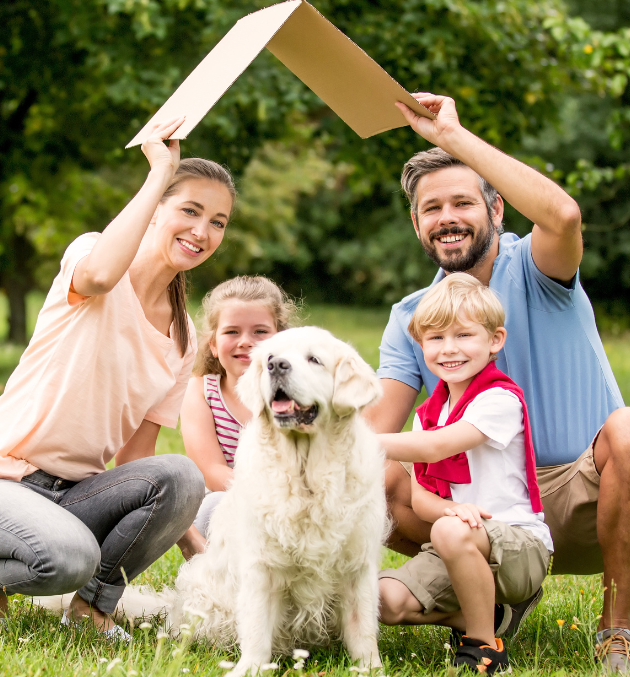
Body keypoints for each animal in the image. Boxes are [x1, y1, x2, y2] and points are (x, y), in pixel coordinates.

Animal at [136, 324, 392, 672]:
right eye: (270, 357)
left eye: (314, 359)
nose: (277, 366)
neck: (305, 477)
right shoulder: (261, 565)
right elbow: (257, 628)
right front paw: (249, 669)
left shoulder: (358, 567)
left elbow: (363, 629)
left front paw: (370, 668)